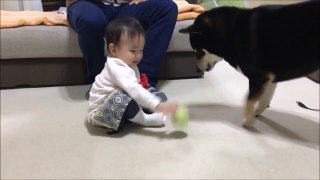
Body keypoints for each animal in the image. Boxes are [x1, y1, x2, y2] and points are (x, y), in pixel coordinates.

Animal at [181, 1, 318, 128]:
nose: (197, 70)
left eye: (199, 52)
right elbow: (264, 98)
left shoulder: (258, 77)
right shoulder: (269, 78)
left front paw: (248, 121)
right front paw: (257, 112)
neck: (230, 32)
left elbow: (248, 100)